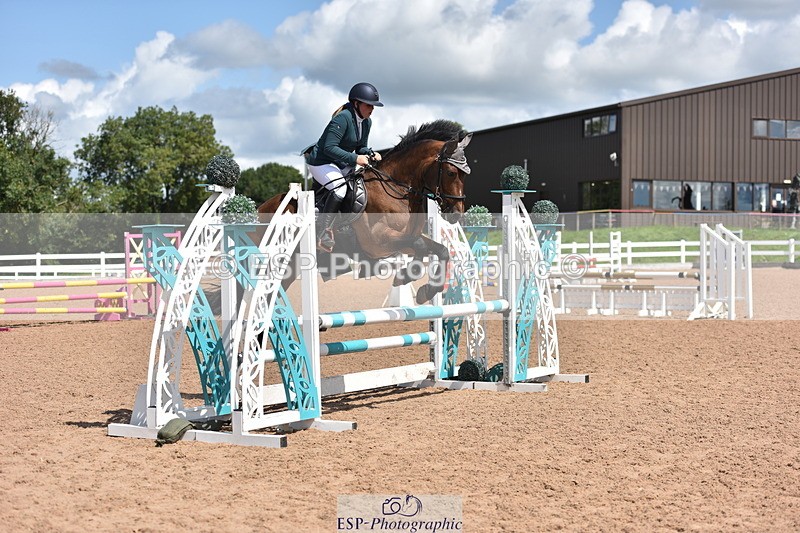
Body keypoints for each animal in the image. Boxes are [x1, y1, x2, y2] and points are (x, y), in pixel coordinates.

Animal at [257, 119, 473, 304]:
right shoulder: (379, 241)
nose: (457, 214)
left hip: (291, 266)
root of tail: (262, 207)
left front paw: (424, 290)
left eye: (465, 175)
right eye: (451, 173)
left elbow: (440, 250)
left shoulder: (405, 239)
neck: (397, 189)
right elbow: (419, 245)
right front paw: (405, 277)